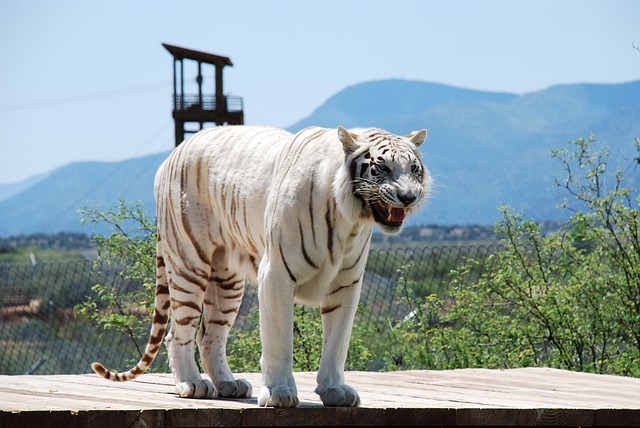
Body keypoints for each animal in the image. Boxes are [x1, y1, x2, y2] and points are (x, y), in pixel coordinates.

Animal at [91, 124, 430, 408]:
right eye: (382, 167)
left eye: (414, 169)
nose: (408, 196)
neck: (349, 218)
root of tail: (176, 151)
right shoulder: (277, 274)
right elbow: (279, 339)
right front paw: (279, 392)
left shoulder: (346, 284)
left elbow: (337, 342)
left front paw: (334, 390)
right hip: (189, 262)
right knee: (179, 333)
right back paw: (192, 384)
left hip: (227, 281)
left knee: (209, 336)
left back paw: (228, 385)